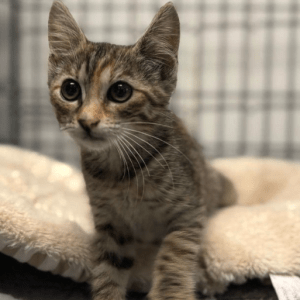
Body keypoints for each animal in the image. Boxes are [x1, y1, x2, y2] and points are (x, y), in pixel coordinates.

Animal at [47, 1, 237, 298]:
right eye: (70, 89)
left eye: (120, 91)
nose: (86, 121)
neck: (120, 173)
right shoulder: (110, 223)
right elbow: (108, 269)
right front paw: (107, 292)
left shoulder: (188, 213)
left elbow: (174, 256)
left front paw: (170, 293)